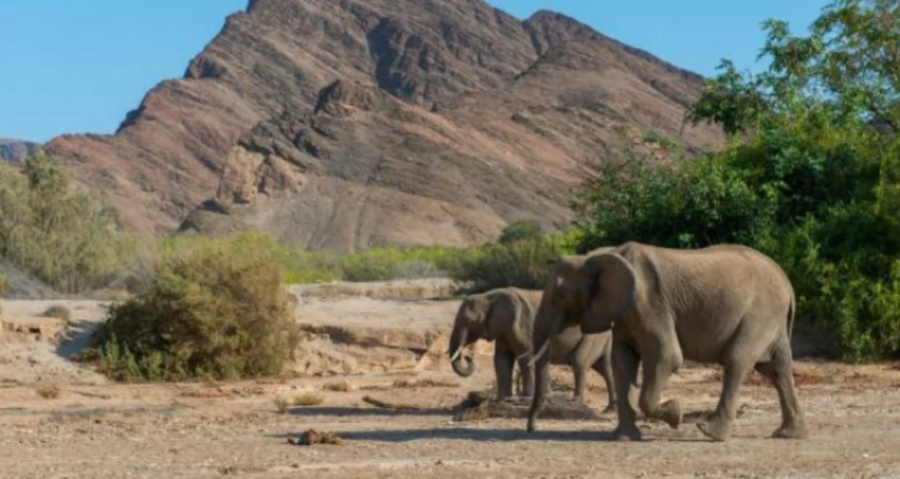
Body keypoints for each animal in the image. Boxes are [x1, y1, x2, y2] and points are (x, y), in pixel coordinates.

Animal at [450, 286, 620, 414]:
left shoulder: (523, 323)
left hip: (592, 335)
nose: (467, 357)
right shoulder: (503, 328)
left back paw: (575, 402)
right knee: (606, 368)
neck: (488, 295)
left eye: (468, 321)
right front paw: (501, 401)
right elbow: (502, 360)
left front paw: (525, 399)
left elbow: (526, 356)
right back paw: (609, 411)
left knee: (579, 363)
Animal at [524, 242, 804, 444]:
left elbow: (666, 356)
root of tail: (788, 283)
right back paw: (788, 434)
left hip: (759, 313)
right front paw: (623, 438)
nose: (531, 428)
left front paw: (675, 413)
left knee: (737, 360)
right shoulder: (623, 312)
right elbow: (622, 362)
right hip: (771, 319)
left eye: (561, 296)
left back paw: (710, 432)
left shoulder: (649, 304)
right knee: (777, 369)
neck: (601, 256)